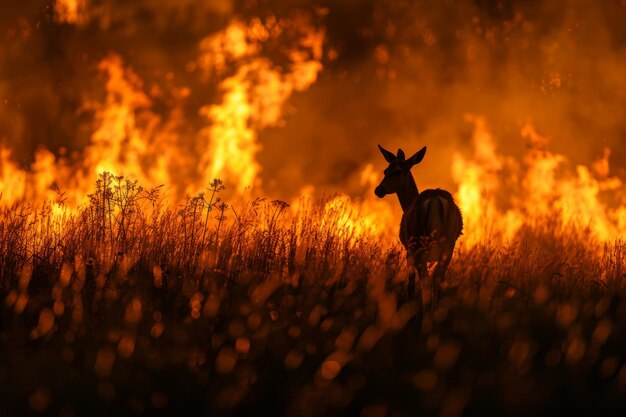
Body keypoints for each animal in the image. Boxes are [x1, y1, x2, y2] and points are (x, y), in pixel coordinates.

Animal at [372, 145, 460, 304]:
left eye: (397, 171)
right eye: (385, 171)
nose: (378, 190)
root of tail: (436, 201)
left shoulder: (409, 250)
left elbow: (411, 285)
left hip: (418, 244)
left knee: (426, 280)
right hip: (448, 246)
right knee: (436, 279)